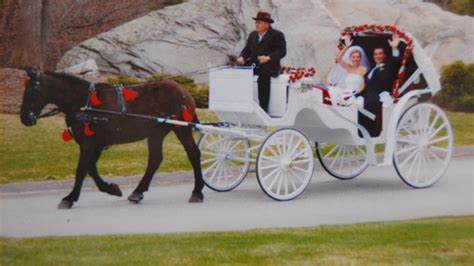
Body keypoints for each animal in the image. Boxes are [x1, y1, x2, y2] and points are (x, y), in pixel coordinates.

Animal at [19, 68, 204, 208]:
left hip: (181, 128)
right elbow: (90, 168)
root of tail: (183, 91)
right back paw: (137, 192)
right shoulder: (96, 143)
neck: (84, 103)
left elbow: (81, 170)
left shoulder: (89, 143)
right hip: (156, 133)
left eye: (33, 91)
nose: (25, 118)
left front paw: (69, 198)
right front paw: (111, 188)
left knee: (194, 154)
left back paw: (197, 192)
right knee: (155, 159)